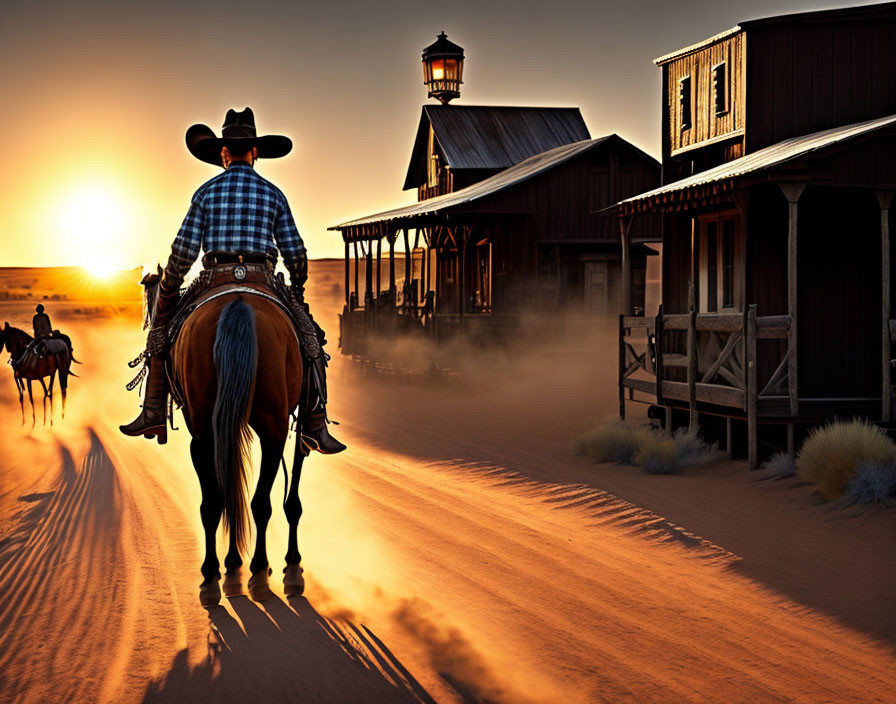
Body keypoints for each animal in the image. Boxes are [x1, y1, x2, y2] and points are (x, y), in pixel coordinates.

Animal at [150, 284, 308, 608]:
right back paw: (256, 573)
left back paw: (218, 577)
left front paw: (233, 571)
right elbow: (285, 501)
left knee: (220, 501)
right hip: (270, 427)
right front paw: (289, 568)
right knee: (256, 502)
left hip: (209, 431)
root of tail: (238, 304)